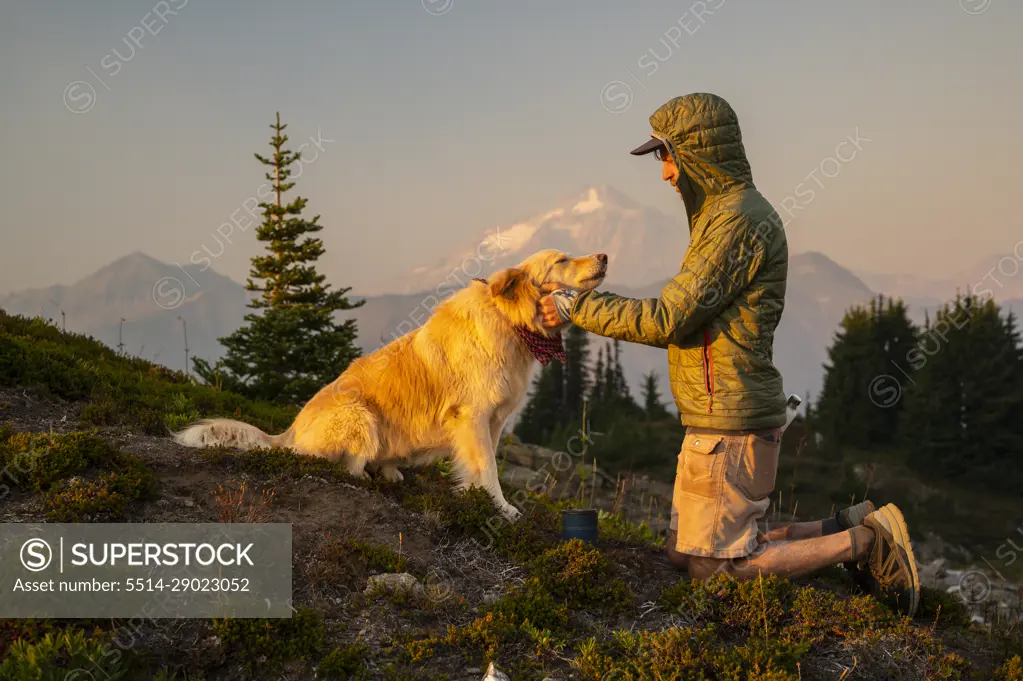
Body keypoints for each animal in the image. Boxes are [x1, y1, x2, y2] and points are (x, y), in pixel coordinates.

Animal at [172, 249, 605, 519]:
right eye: (562, 259)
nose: (603, 256)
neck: (510, 322)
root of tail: (289, 432)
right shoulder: (473, 417)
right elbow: (489, 469)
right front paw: (499, 508)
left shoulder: (493, 421)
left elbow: (483, 466)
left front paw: (475, 497)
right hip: (361, 415)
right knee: (338, 462)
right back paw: (364, 473)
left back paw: (390, 470)